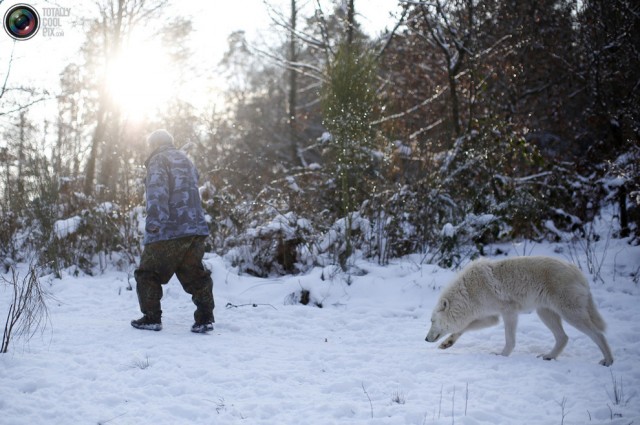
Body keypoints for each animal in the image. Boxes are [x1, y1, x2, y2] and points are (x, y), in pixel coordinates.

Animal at [424, 255, 616, 364]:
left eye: (432, 321)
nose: (425, 339)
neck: (468, 292)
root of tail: (579, 273)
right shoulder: (492, 317)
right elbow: (463, 328)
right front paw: (447, 343)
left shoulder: (509, 312)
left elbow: (510, 340)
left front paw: (502, 355)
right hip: (545, 313)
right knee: (564, 337)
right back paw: (549, 356)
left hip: (570, 314)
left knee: (597, 334)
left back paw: (608, 361)